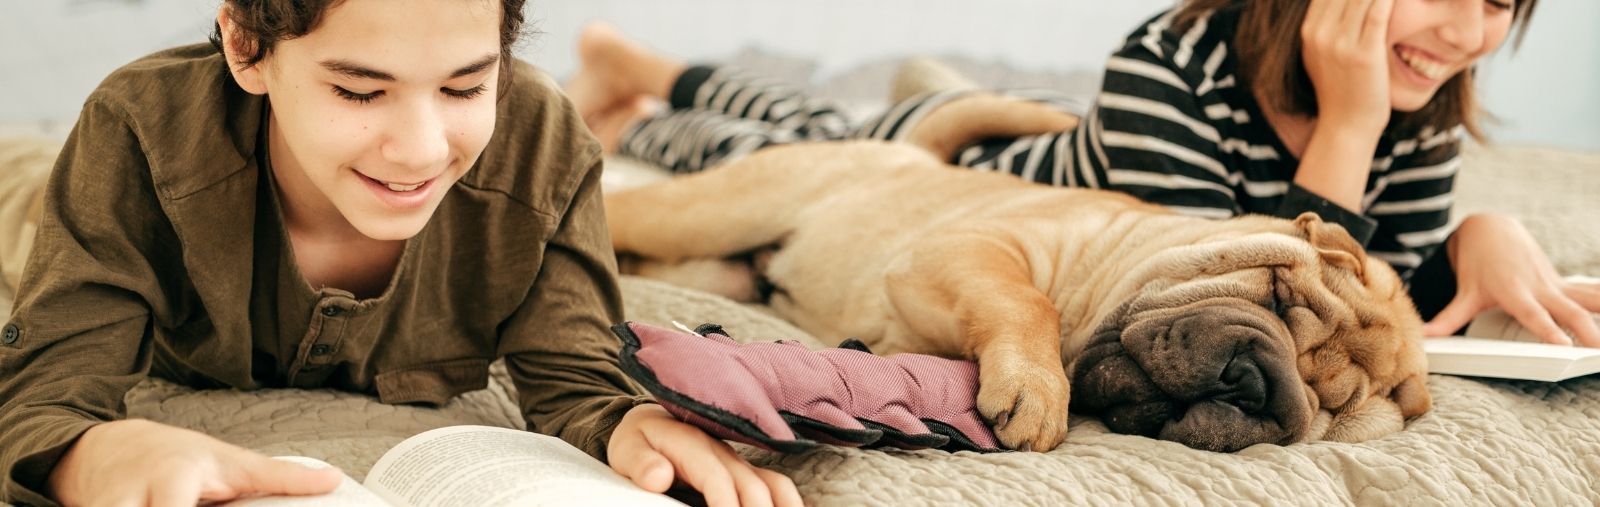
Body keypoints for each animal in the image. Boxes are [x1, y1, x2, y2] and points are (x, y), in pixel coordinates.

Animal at [604, 105, 1433, 451]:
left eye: (1326, 412)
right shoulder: (973, 246)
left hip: (717, 264)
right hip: (710, 212)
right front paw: (1036, 389)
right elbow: (1025, 299)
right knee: (625, 205)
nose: (1258, 384)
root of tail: (908, 150)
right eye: (1279, 296)